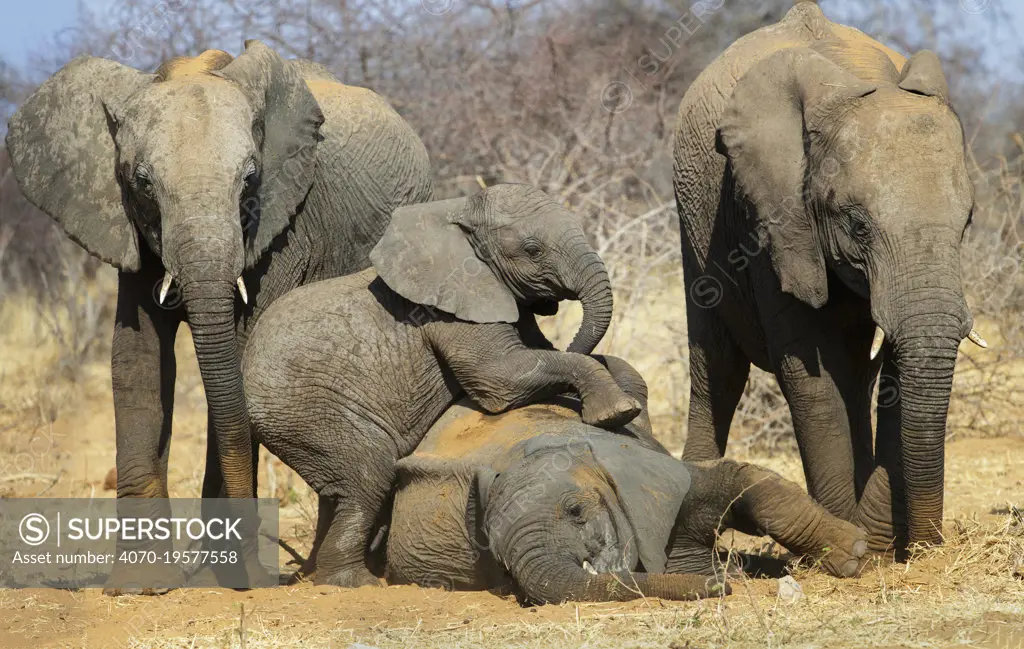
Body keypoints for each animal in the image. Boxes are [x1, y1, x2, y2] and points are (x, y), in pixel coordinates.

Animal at [4, 44, 428, 544]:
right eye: (142, 182)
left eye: (250, 179)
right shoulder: (129, 230)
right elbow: (137, 359)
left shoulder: (282, 228)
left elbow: (238, 362)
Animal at [243, 184, 638, 585]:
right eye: (532, 250)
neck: (459, 212)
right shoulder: (453, 306)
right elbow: (501, 377)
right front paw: (618, 411)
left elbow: (539, 352)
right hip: (307, 412)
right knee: (367, 477)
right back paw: (353, 581)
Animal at [671, 0, 983, 556]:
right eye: (857, 225)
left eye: (967, 223)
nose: (925, 548)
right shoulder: (771, 214)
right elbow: (809, 372)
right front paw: (849, 542)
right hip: (695, 221)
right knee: (718, 368)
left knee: (852, 375)